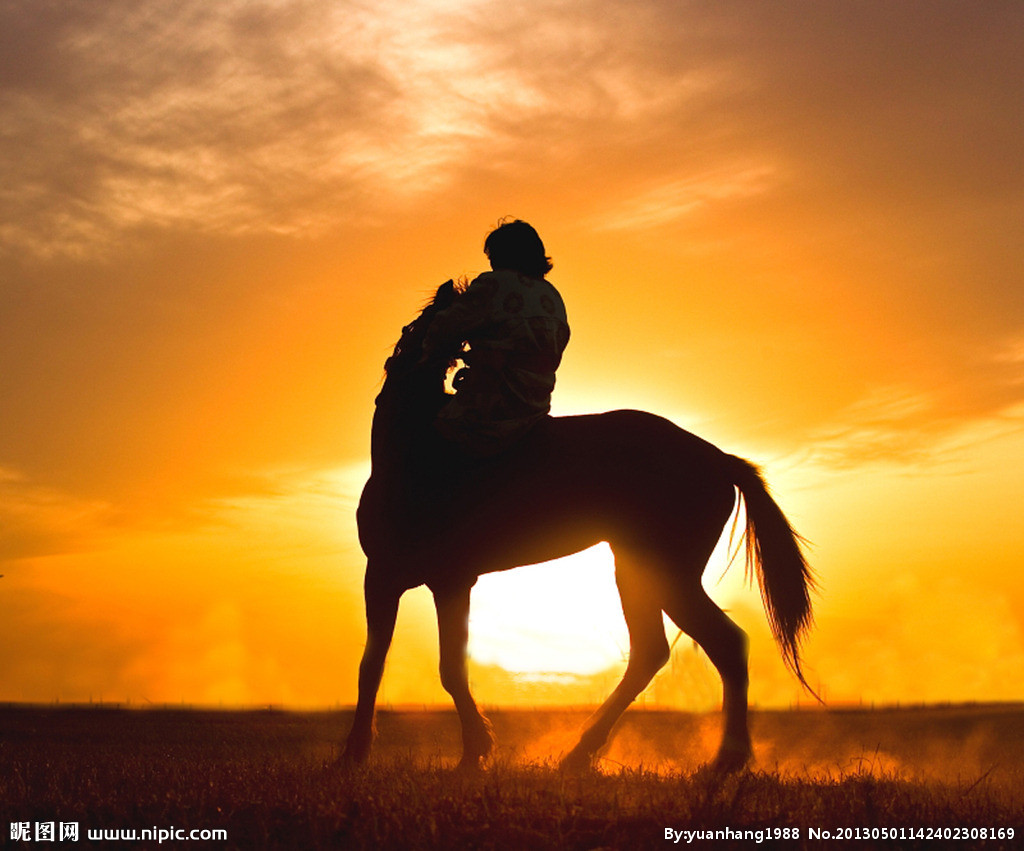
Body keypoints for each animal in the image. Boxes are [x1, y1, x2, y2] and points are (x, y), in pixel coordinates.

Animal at [344, 278, 815, 770]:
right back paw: (583, 752)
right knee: (655, 651)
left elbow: (376, 666)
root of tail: (720, 459)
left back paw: (723, 760)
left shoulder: (386, 576)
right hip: (636, 569)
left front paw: (357, 754)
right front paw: (473, 752)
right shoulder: (446, 583)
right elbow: (446, 668)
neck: (415, 454)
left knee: (723, 645)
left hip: (665, 574)